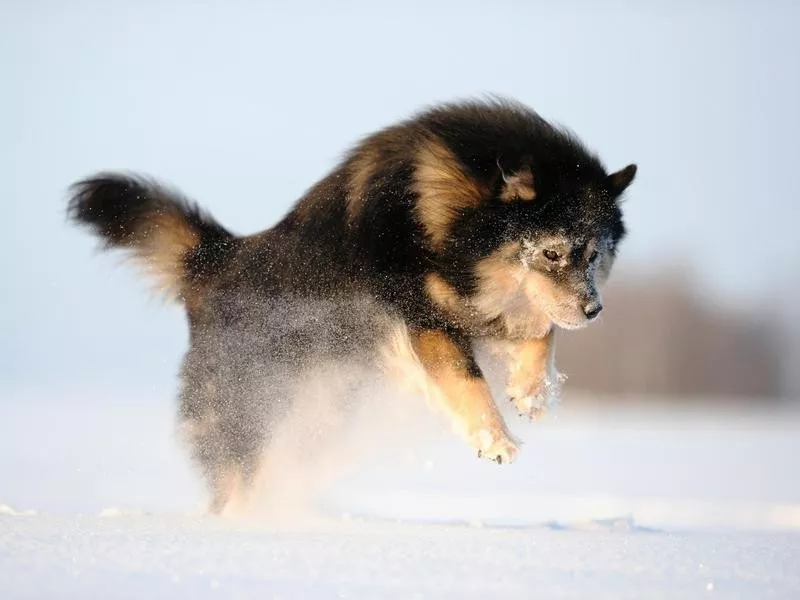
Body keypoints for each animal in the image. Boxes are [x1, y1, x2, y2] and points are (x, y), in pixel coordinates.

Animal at [67, 99, 636, 516]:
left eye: (594, 254)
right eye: (551, 252)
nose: (595, 311)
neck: (442, 213)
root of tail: (215, 260)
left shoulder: (489, 304)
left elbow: (543, 329)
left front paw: (532, 392)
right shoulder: (423, 317)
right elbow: (468, 377)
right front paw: (494, 439)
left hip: (319, 407)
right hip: (250, 407)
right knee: (234, 475)